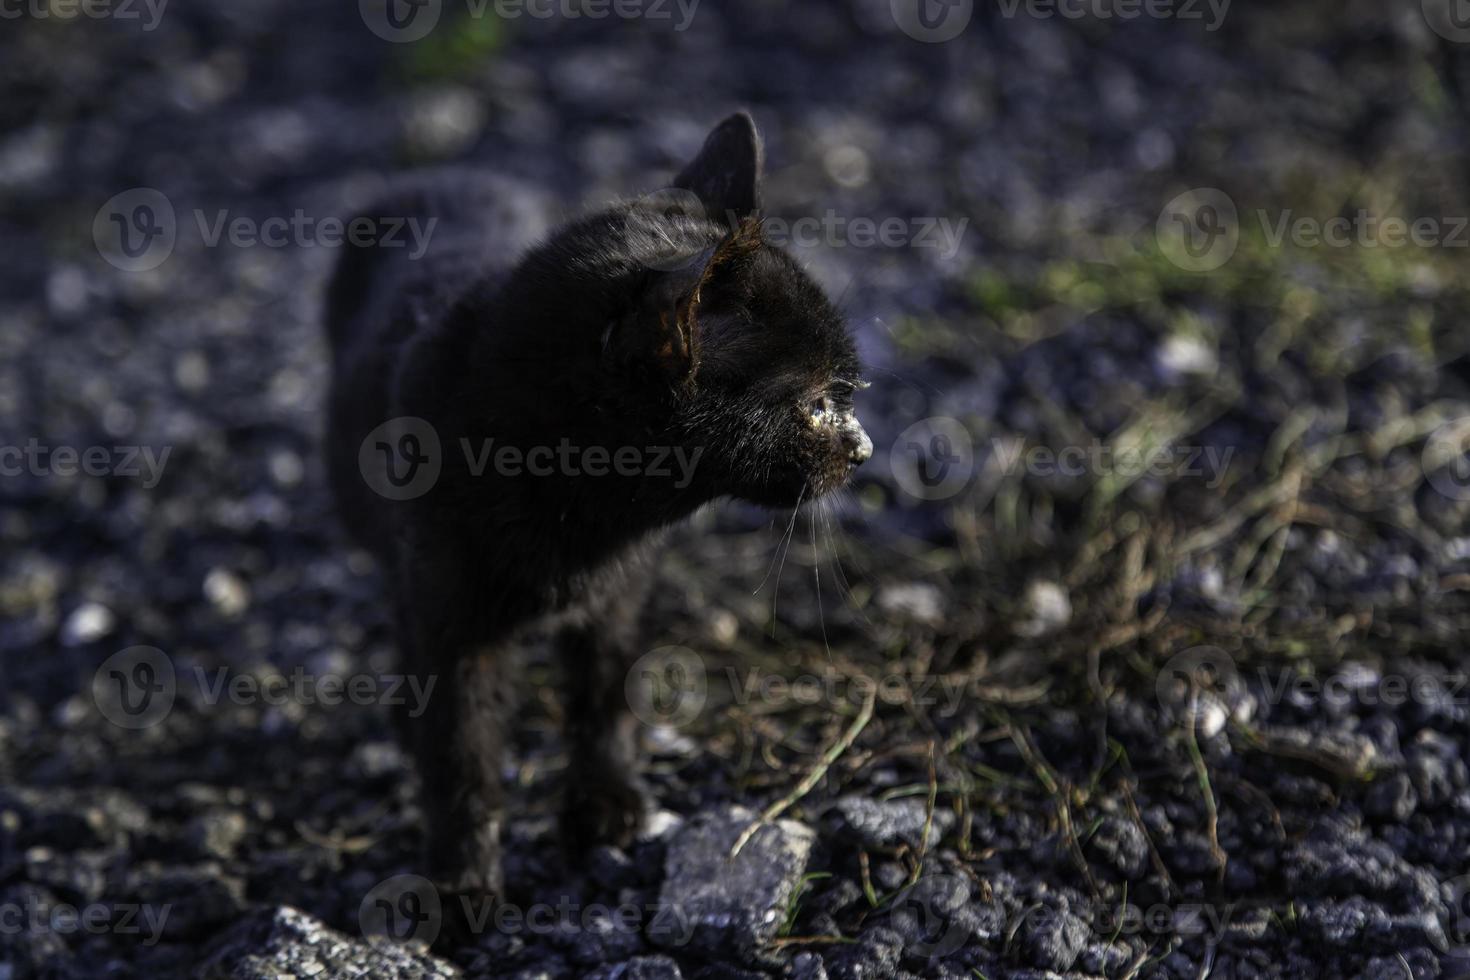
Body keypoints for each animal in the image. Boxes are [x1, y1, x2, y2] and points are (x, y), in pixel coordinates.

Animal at [321, 113, 864, 905]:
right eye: (815, 404)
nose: (865, 450)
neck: (586, 518)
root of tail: (441, 173)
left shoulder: (622, 589)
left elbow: (604, 693)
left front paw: (605, 804)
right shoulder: (450, 616)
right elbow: (461, 753)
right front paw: (460, 884)